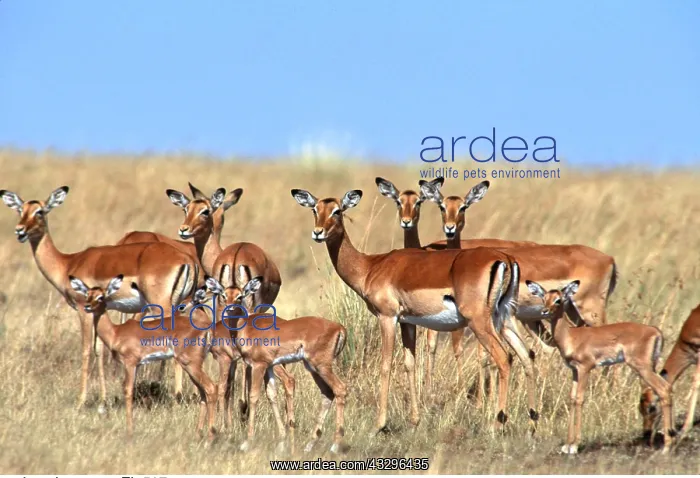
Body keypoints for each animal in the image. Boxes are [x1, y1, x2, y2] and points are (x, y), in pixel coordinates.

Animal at [0, 187, 200, 409]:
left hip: (160, 306)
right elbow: (99, 349)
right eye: (21, 210)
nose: (20, 231)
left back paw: (177, 395)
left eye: (40, 212)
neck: (68, 263)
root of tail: (187, 259)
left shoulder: (83, 309)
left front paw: (81, 400)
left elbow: (86, 349)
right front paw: (103, 399)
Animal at [68, 275, 217, 438]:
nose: (87, 306)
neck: (116, 332)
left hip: (190, 364)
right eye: (87, 295)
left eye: (101, 297)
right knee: (203, 393)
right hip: (192, 366)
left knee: (211, 388)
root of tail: (207, 330)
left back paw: (211, 435)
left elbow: (128, 391)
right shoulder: (138, 365)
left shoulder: (130, 363)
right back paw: (198, 433)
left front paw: (129, 431)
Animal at [205, 275, 348, 453]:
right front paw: (281, 443)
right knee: (327, 393)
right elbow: (271, 394)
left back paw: (335, 446)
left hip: (322, 366)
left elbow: (253, 396)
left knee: (340, 389)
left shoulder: (258, 365)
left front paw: (247, 441)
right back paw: (309, 445)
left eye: (240, 296)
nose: (229, 309)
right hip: (312, 367)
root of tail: (340, 327)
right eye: (224, 295)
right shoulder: (269, 367)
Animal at [290, 188, 527, 434]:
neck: (371, 266)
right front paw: (415, 420)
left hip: (479, 322)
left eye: (337, 211)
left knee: (504, 357)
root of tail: (504, 259)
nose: (318, 233)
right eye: (315, 209)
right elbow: (409, 364)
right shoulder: (408, 322)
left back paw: (496, 425)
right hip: (504, 319)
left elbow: (386, 365)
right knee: (525, 355)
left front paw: (379, 425)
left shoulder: (387, 317)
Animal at [527, 279, 674, 454]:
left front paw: (575, 445)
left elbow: (580, 399)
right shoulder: (574, 371)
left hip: (643, 368)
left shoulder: (585, 368)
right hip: (650, 368)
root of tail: (656, 331)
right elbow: (572, 398)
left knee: (663, 389)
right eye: (544, 298)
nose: (544, 311)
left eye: (559, 300)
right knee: (665, 389)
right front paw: (567, 445)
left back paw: (667, 446)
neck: (571, 336)